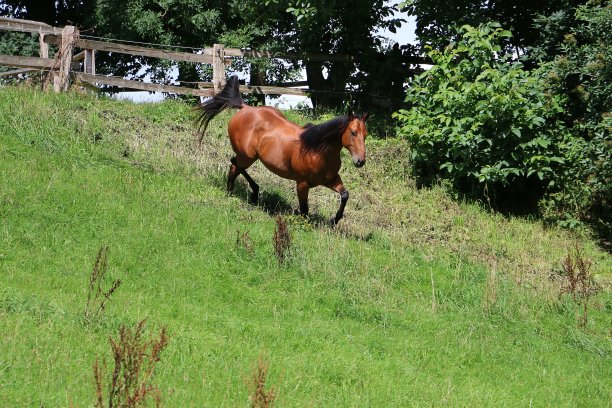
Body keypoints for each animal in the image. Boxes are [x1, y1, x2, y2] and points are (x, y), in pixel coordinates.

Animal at [197, 75, 368, 225]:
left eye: (365, 135)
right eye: (353, 133)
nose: (360, 161)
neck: (318, 151)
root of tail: (245, 108)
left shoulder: (331, 180)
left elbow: (345, 195)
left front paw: (334, 220)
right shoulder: (302, 183)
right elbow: (304, 209)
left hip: (248, 156)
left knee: (234, 164)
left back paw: (248, 193)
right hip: (247, 156)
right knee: (235, 165)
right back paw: (240, 193)